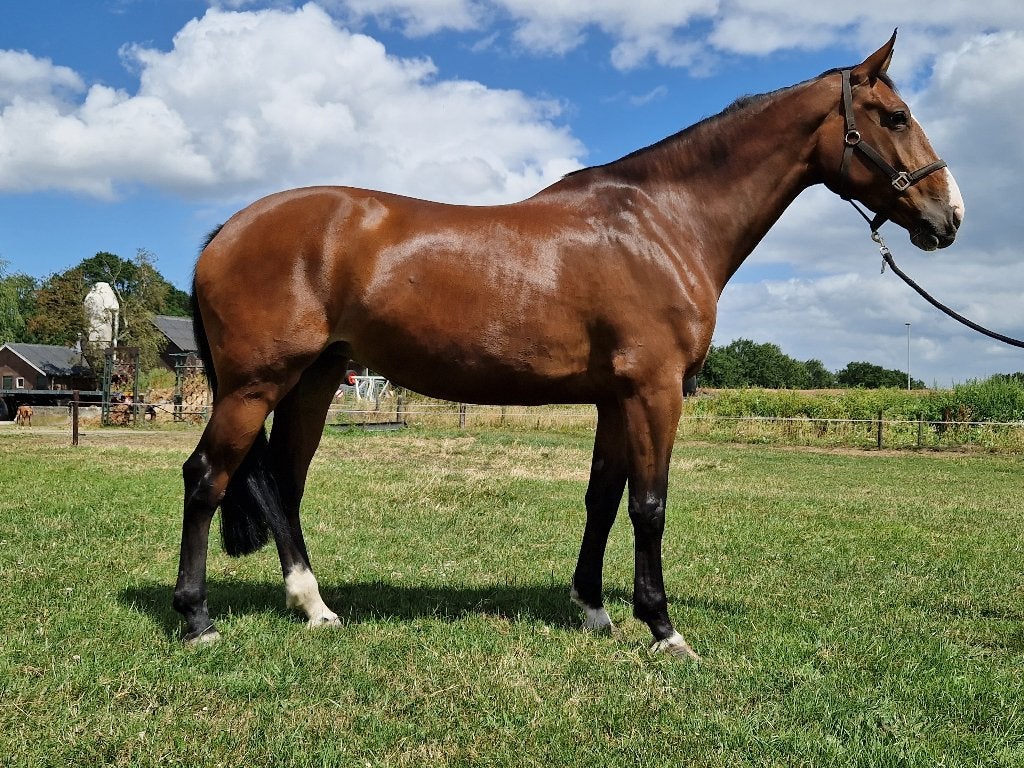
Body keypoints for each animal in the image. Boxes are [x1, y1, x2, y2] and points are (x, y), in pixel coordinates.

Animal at [174, 33, 963, 656]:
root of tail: (225, 232)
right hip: (255, 385)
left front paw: (594, 609)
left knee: (284, 483)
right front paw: (663, 628)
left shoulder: (615, 398)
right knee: (207, 476)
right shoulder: (653, 390)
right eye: (895, 117)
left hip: (313, 381)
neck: (661, 222)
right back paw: (197, 621)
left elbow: (602, 498)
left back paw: (315, 608)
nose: (949, 216)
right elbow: (650, 505)